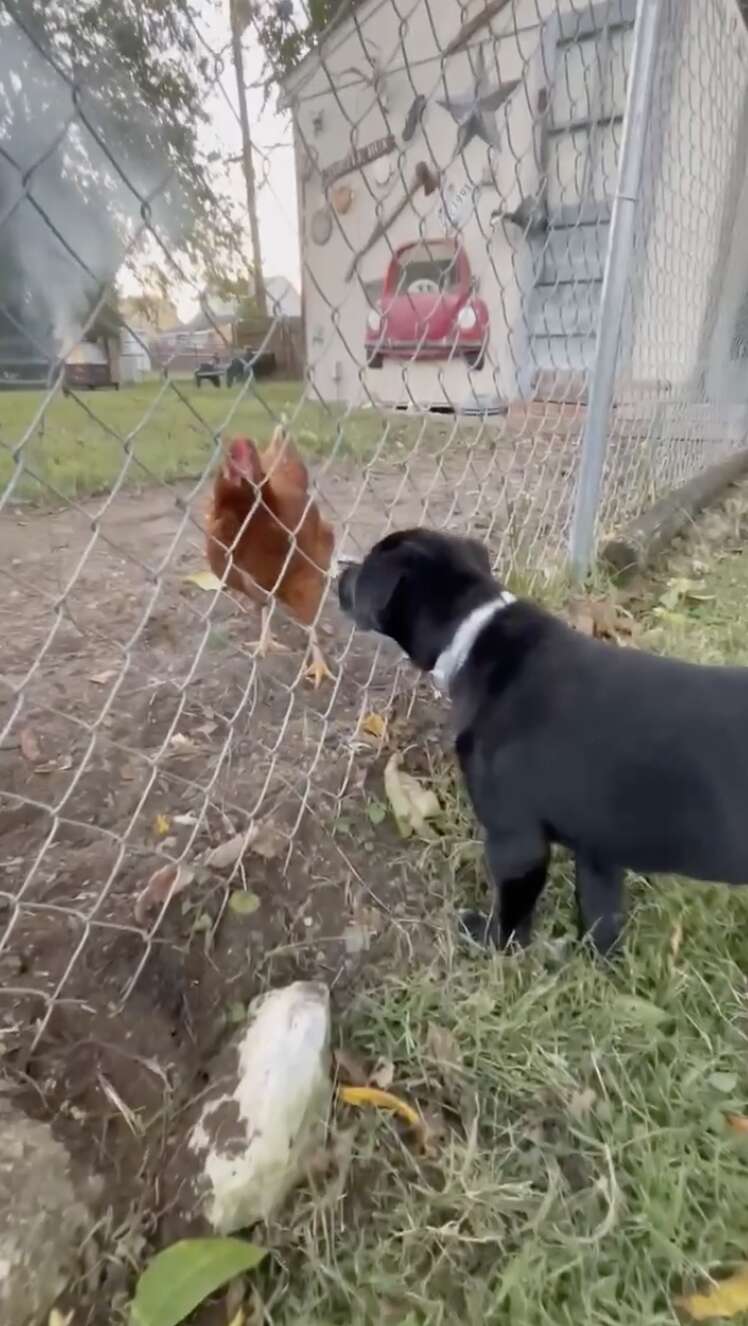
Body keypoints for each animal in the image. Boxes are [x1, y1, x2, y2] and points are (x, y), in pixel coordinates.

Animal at [336, 527, 748, 954]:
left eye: (365, 567)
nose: (339, 575)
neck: (474, 632)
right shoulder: (597, 846)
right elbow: (601, 916)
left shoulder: (516, 840)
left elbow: (512, 916)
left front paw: (492, 942)